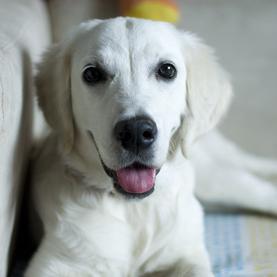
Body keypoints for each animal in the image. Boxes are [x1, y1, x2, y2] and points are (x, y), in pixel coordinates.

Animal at [24, 17, 276, 276]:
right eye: (92, 73)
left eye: (167, 70)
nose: (136, 133)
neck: (135, 209)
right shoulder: (55, 263)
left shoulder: (189, 254)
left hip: (218, 182)